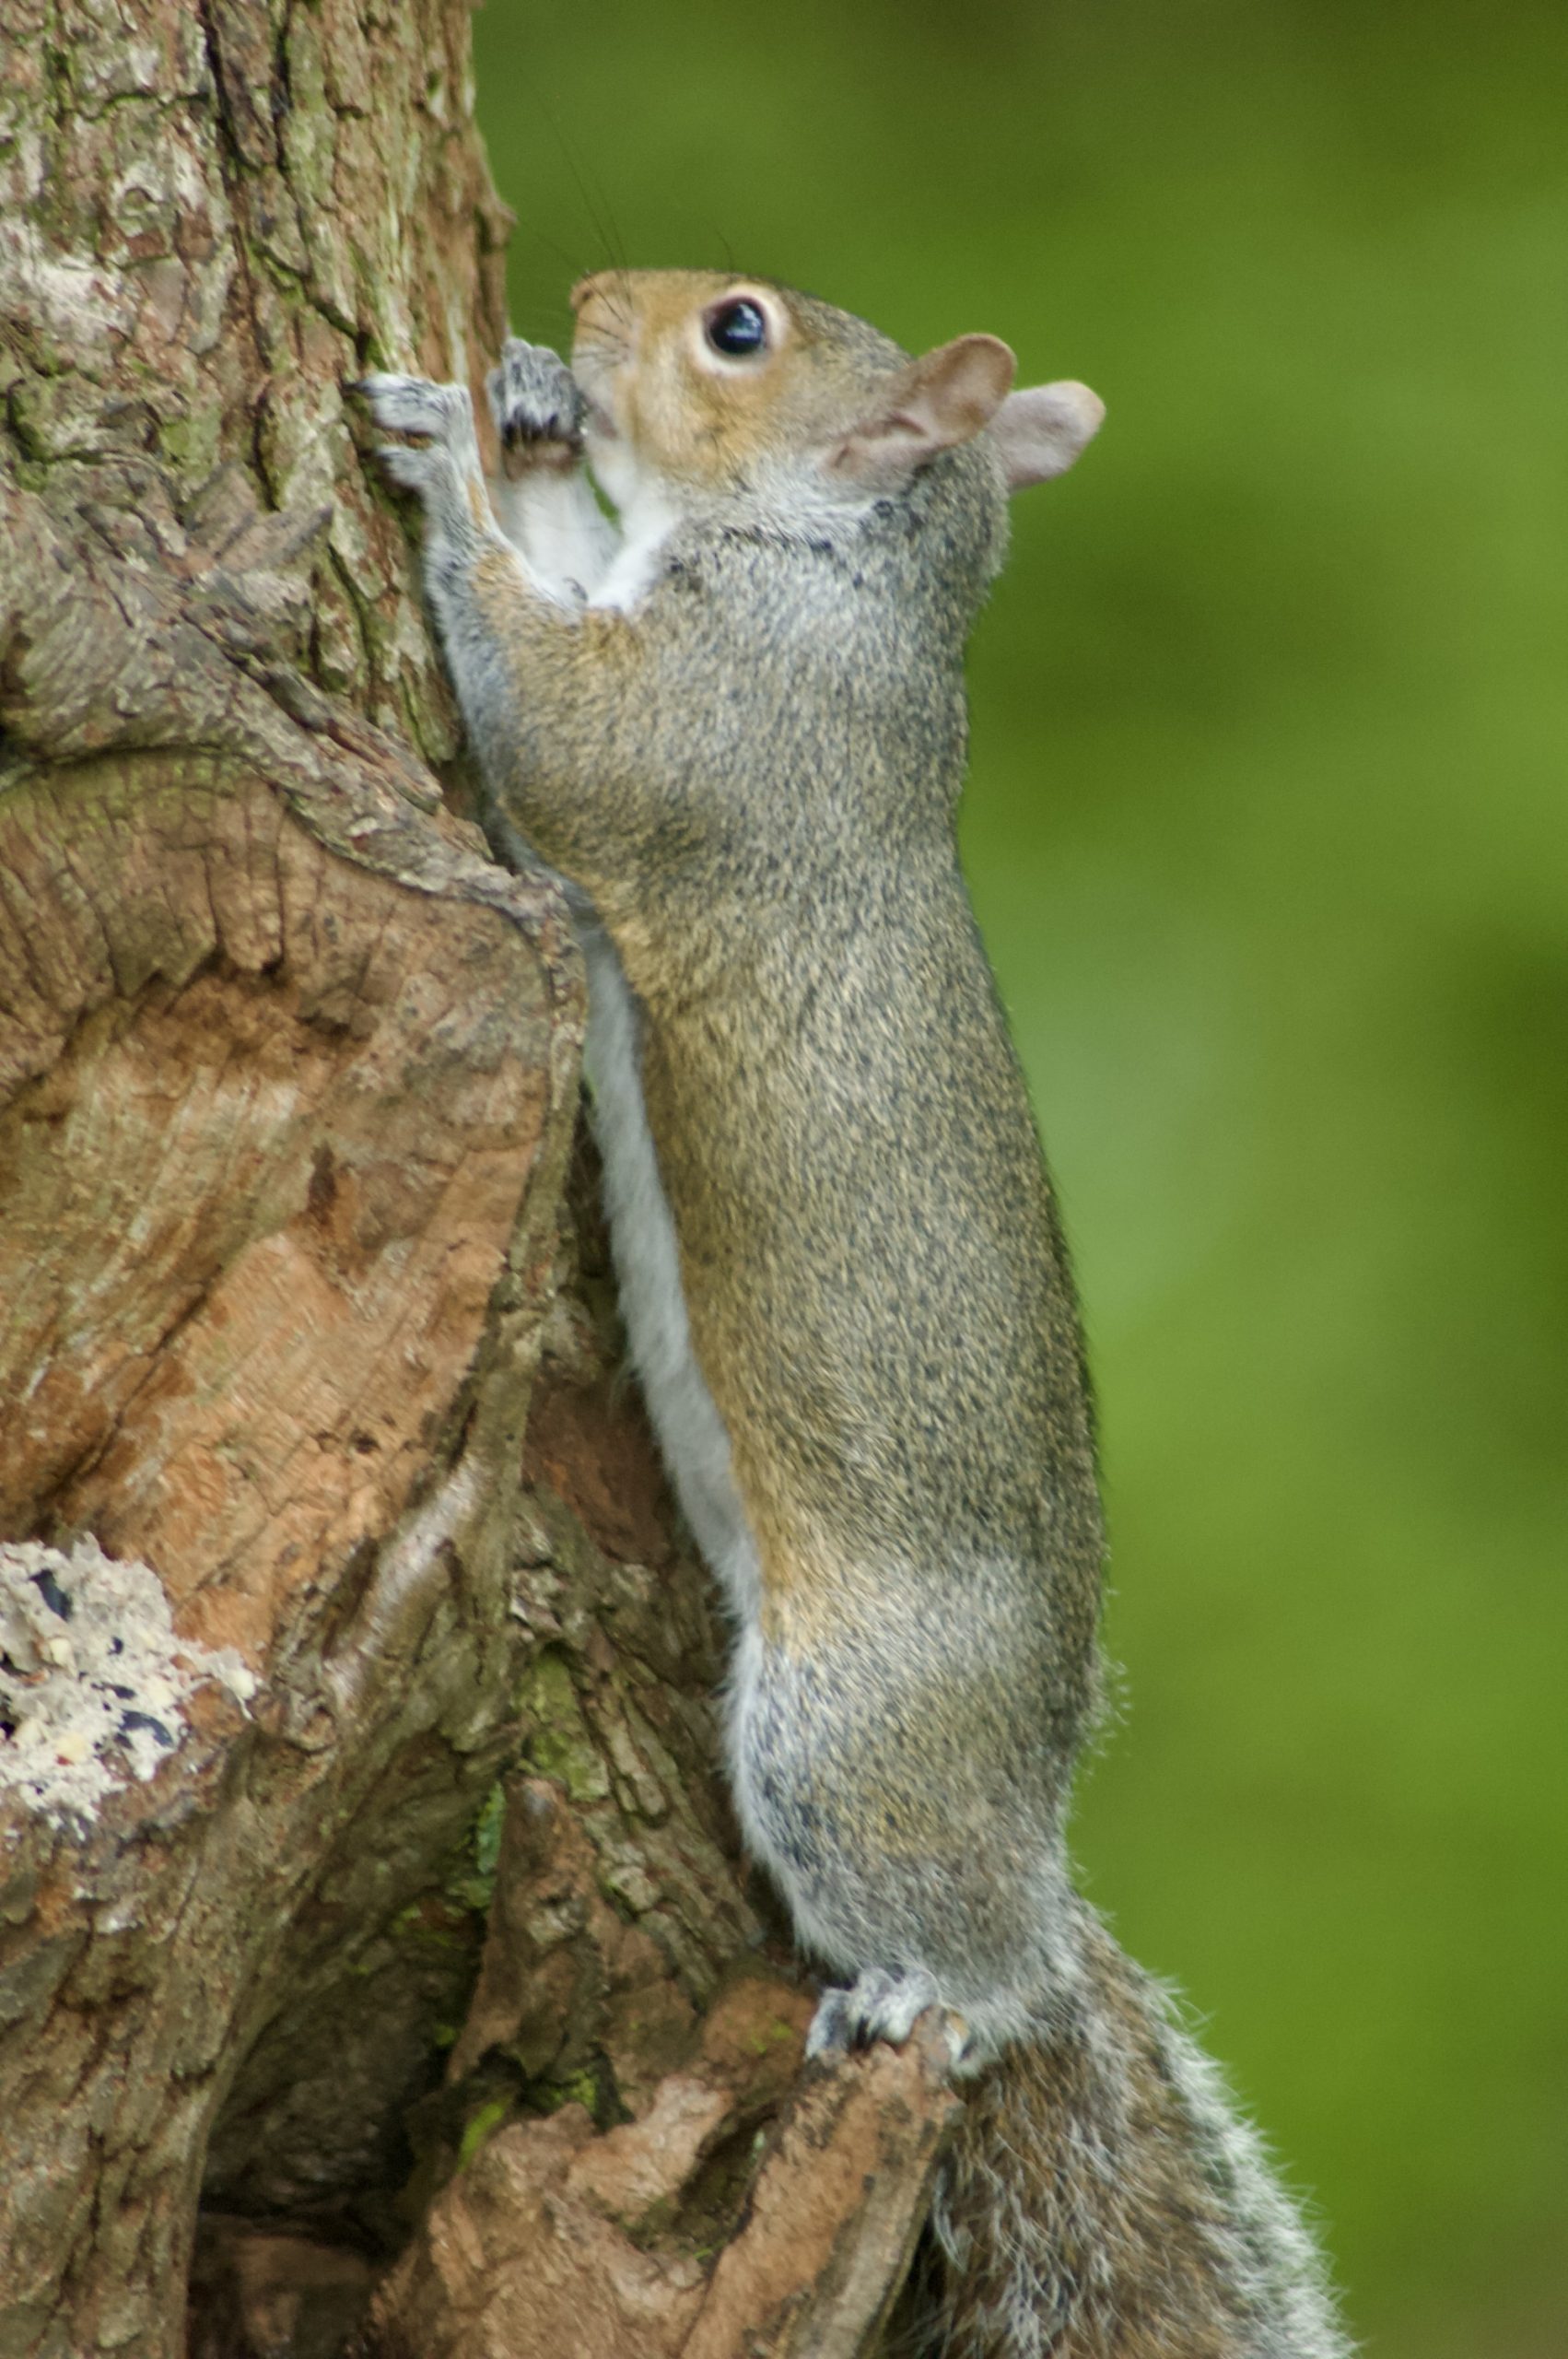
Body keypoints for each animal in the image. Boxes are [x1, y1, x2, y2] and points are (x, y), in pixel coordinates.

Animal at [360, 271, 1349, 2359]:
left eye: (735, 328)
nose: (592, 299)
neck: (841, 582)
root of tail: (1030, 1833)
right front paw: (531, 413)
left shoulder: (711, 726)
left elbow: (551, 720)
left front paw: (450, 460)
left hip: (846, 1733)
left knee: (978, 1965)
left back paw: (934, 1994)